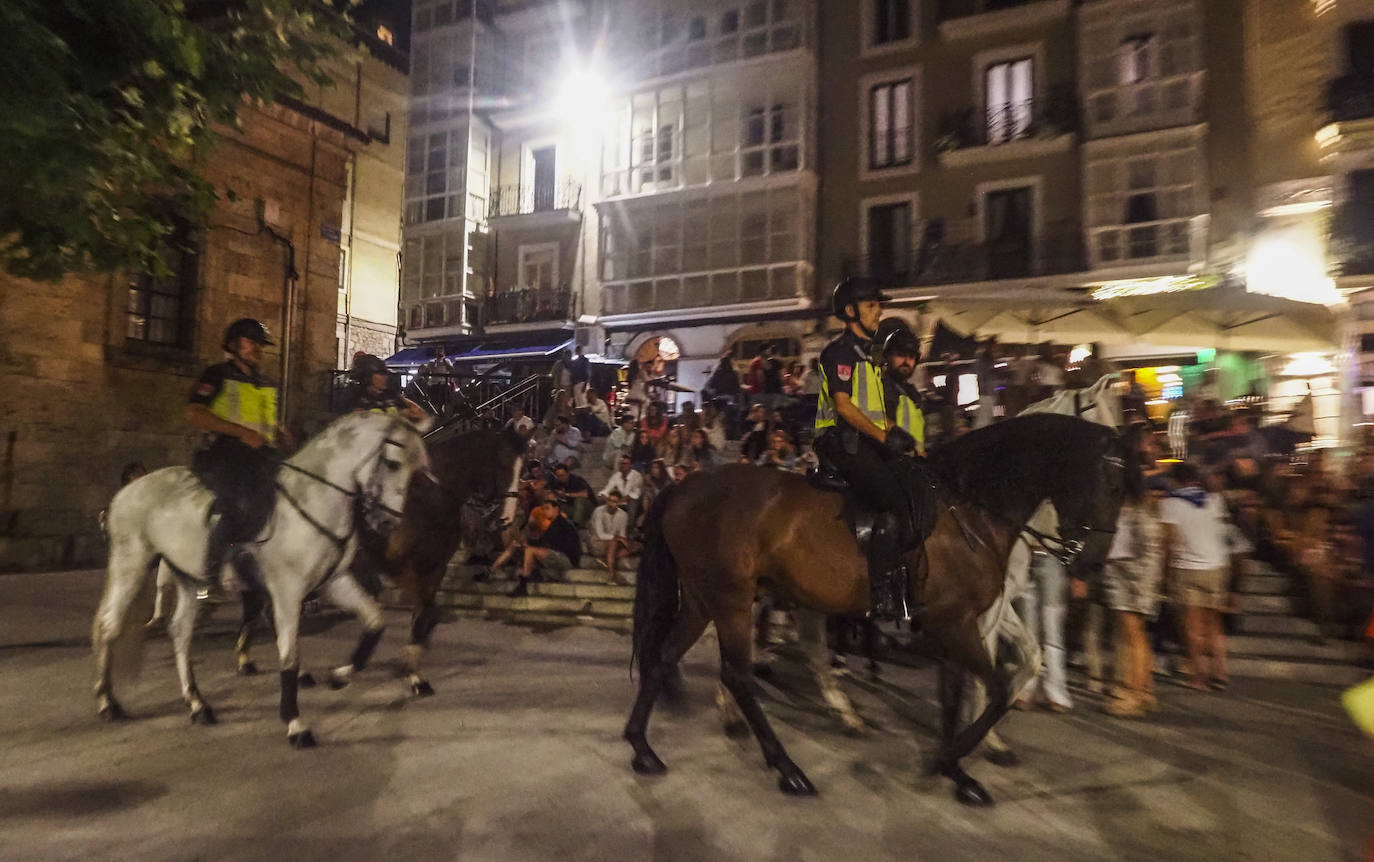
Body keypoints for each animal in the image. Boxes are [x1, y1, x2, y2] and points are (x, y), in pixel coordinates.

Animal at [93, 412, 428, 747]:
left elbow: (374, 622)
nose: (387, 523)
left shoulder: (334, 582)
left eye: (416, 470)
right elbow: (289, 655)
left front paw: (340, 675)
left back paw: (197, 704)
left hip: (186, 575)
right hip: (132, 563)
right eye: (393, 463)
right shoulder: (287, 592)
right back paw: (108, 702)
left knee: (180, 632)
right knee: (110, 626)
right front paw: (295, 724)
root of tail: (125, 494)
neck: (314, 500)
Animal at [629, 415, 1132, 808]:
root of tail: (686, 485)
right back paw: (787, 767)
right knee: (738, 672)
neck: (968, 508)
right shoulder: (957, 623)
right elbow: (996, 689)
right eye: (1111, 483)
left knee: (666, 657)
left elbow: (959, 694)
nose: (1092, 564)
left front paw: (959, 771)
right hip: (730, 599)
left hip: (704, 599)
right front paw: (948, 761)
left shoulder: (956, 622)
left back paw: (643, 747)